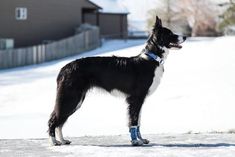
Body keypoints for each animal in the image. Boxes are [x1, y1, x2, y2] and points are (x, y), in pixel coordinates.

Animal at [48, 16, 185, 146]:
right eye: (170, 34)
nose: (185, 36)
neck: (151, 59)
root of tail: (64, 68)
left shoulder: (140, 99)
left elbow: (138, 121)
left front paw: (140, 139)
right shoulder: (136, 98)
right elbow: (134, 121)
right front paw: (135, 141)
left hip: (75, 100)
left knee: (60, 122)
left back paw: (63, 140)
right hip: (71, 99)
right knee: (54, 120)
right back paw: (54, 142)